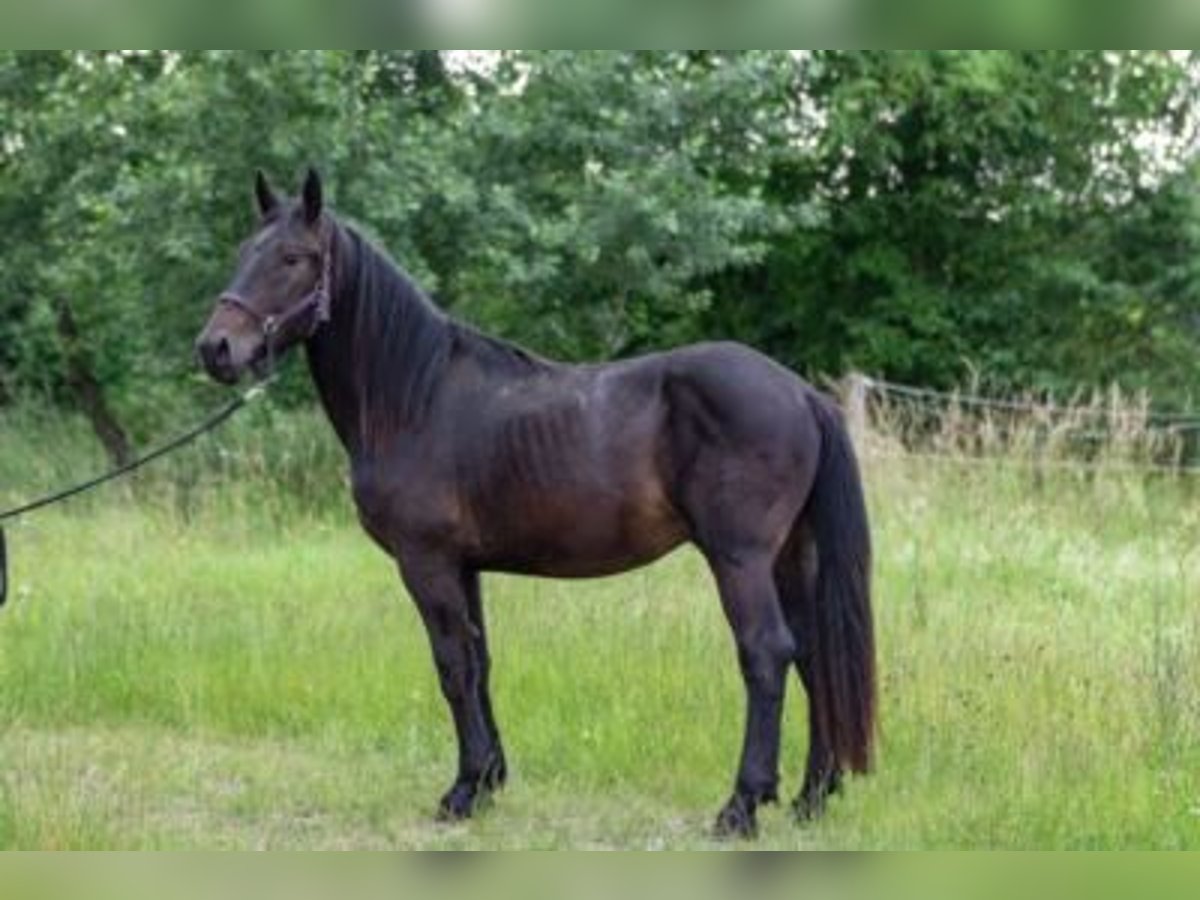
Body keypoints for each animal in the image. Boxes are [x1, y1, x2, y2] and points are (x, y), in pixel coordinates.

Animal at [194, 172, 873, 844]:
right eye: (243, 252)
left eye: (292, 258)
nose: (216, 348)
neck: (417, 397)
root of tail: (800, 393)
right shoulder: (464, 567)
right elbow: (480, 662)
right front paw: (490, 780)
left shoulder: (426, 562)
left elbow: (452, 666)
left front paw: (462, 791)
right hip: (790, 557)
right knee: (813, 655)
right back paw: (812, 797)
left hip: (740, 559)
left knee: (767, 653)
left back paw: (741, 806)